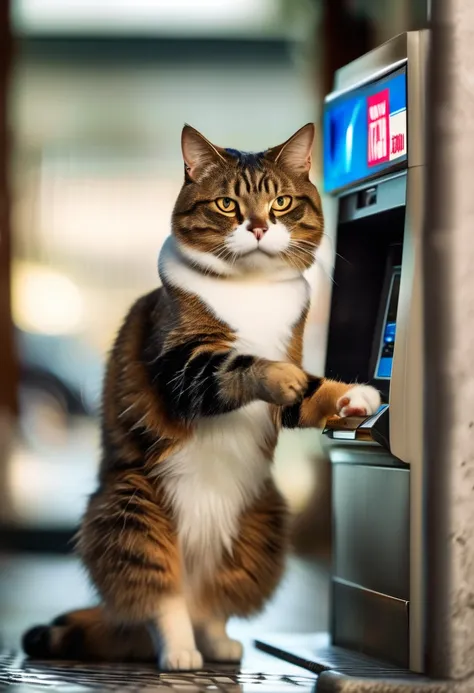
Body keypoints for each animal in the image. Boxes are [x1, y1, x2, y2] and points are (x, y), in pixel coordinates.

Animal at [22, 123, 380, 672]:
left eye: (280, 202)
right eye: (228, 205)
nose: (258, 227)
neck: (253, 291)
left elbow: (311, 390)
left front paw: (351, 397)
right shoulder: (179, 366)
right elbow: (238, 366)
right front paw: (275, 373)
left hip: (263, 523)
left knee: (213, 604)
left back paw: (218, 644)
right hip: (132, 510)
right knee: (161, 600)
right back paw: (180, 652)